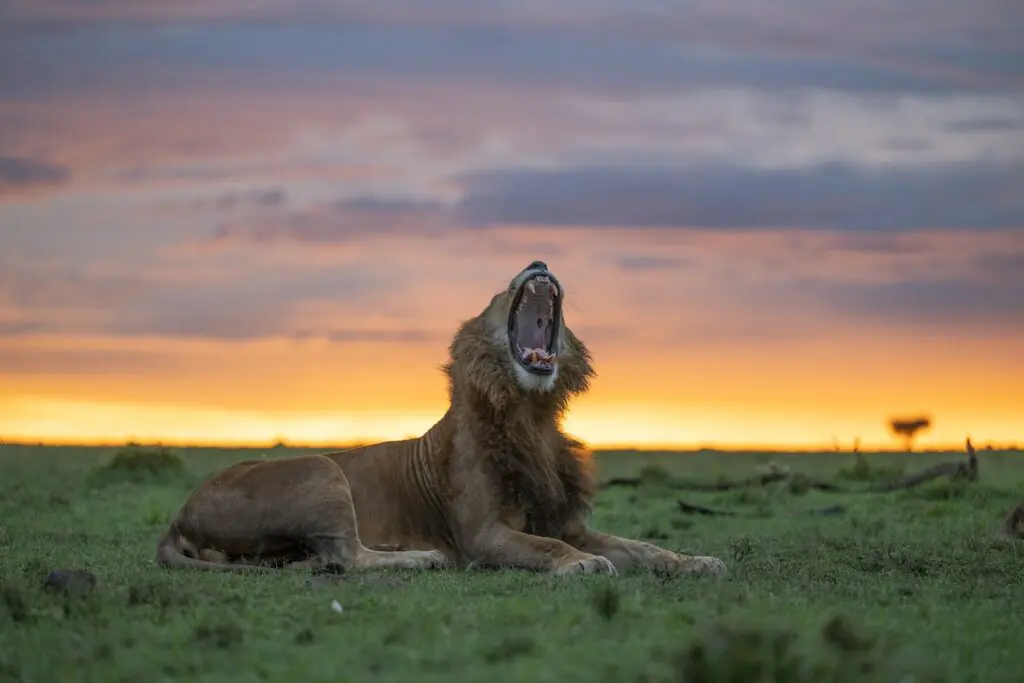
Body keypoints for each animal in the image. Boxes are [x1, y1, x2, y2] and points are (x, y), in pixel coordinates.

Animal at [155, 260, 726, 578]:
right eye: (499, 292)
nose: (538, 260)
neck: (530, 415)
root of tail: (178, 513)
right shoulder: (483, 534)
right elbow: (545, 545)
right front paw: (579, 564)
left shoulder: (571, 521)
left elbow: (645, 547)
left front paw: (697, 562)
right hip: (322, 470)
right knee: (347, 554)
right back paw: (420, 558)